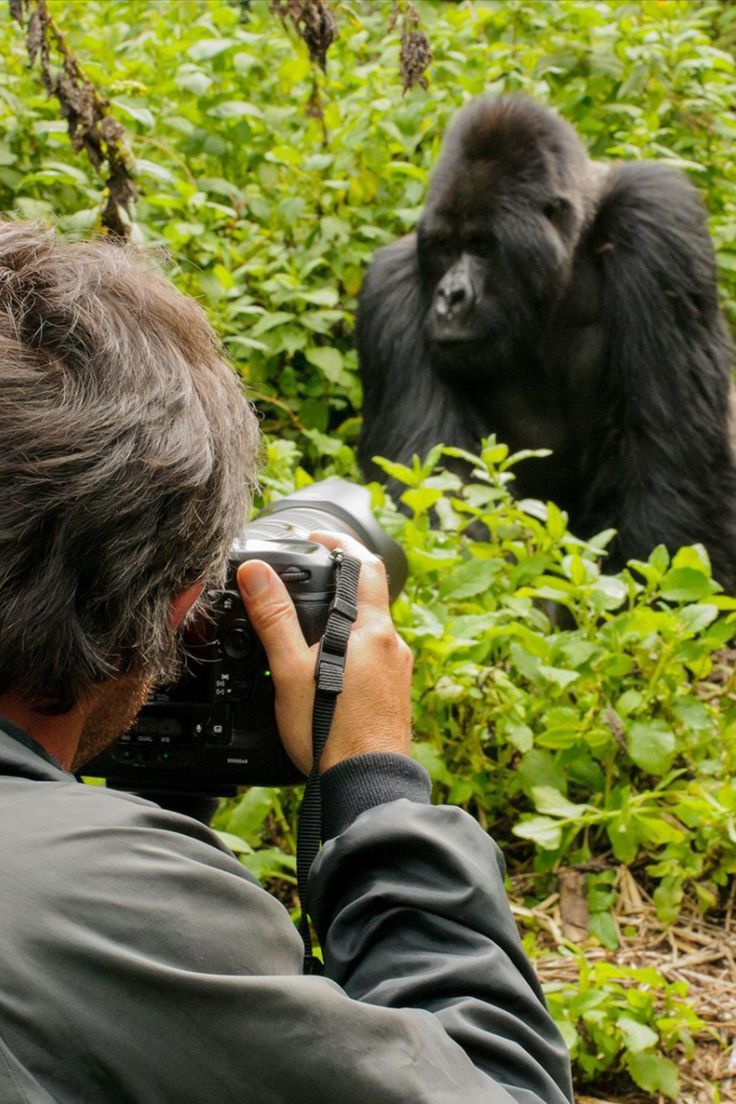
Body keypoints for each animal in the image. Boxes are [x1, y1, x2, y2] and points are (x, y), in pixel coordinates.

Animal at [357, 99, 736, 591]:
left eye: (481, 246)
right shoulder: (391, 291)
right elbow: (439, 494)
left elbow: (671, 465)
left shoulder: (657, 221)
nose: (449, 297)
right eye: (443, 247)